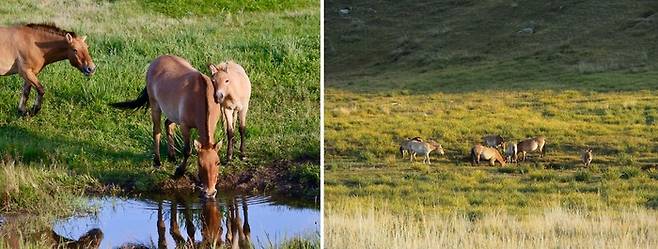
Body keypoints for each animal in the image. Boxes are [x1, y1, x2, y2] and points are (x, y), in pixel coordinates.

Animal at [113, 55, 223, 199]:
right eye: (200, 163)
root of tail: (157, 60)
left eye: (218, 162)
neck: (201, 96)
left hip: (172, 113)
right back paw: (157, 161)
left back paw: (172, 157)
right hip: (155, 106)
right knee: (157, 131)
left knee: (168, 124)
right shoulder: (184, 126)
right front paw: (179, 172)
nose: (210, 193)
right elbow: (187, 150)